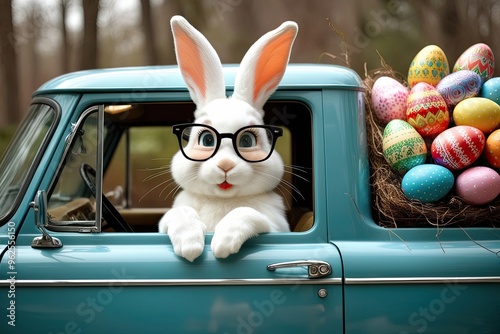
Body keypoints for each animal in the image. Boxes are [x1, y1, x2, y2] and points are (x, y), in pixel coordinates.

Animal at [158, 15, 296, 260]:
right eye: (207, 140)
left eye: (247, 141)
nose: (225, 165)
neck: (222, 199)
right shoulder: (167, 219)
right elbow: (180, 214)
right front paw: (189, 245)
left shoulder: (275, 226)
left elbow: (246, 213)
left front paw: (223, 243)